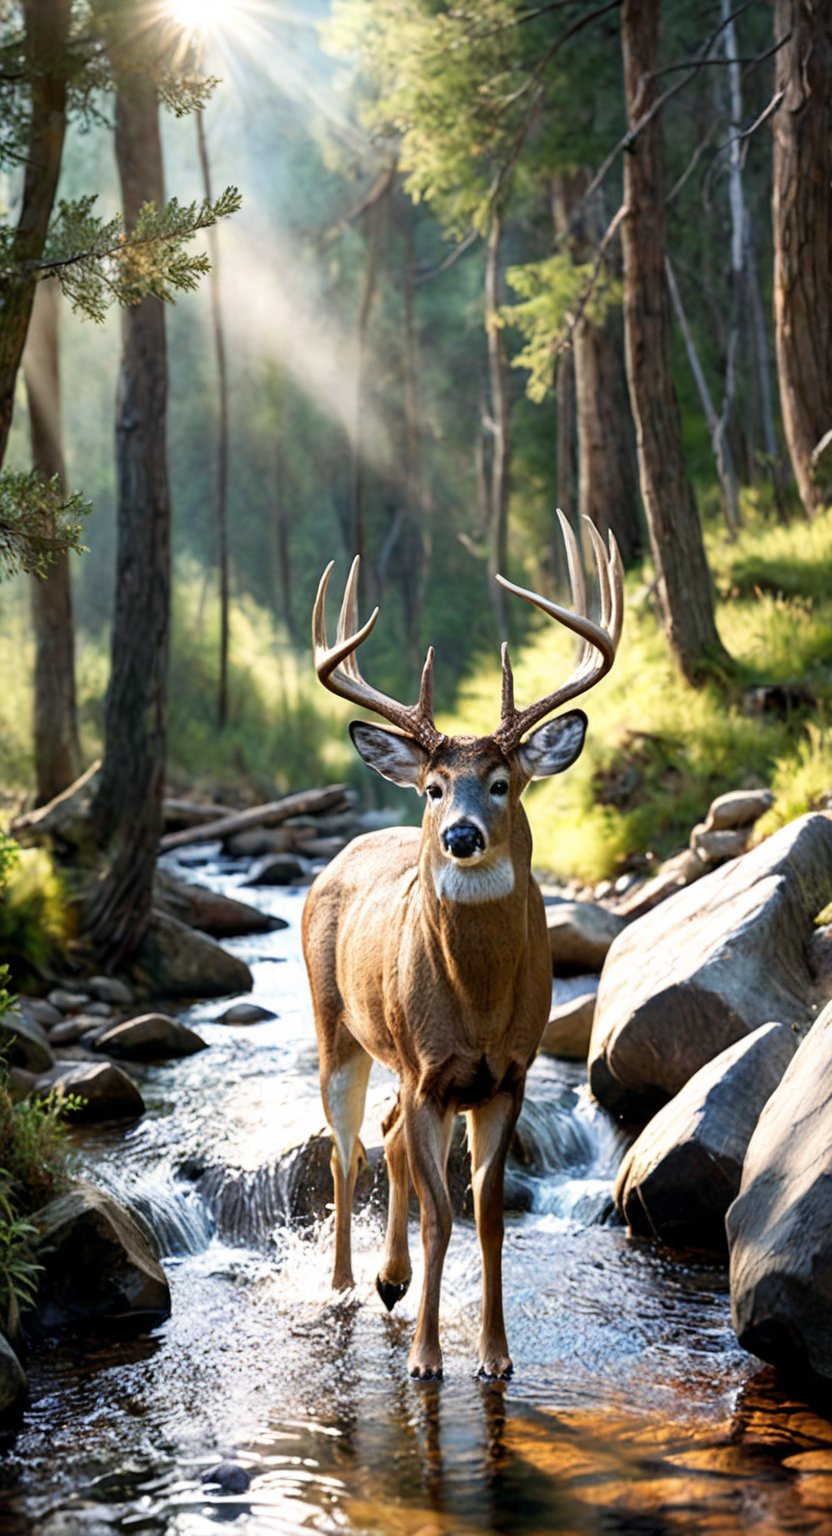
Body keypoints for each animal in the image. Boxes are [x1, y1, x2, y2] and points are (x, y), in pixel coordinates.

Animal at [303, 513, 623, 1382]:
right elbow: (442, 1214)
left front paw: (495, 1356)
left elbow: (485, 1213)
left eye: (505, 782)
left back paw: (389, 1279)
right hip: (337, 1028)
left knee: (383, 1138)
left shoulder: (504, 1075)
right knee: (345, 1147)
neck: (476, 1005)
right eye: (435, 787)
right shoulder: (428, 1071)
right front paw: (425, 1361)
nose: (461, 835)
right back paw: (345, 1285)